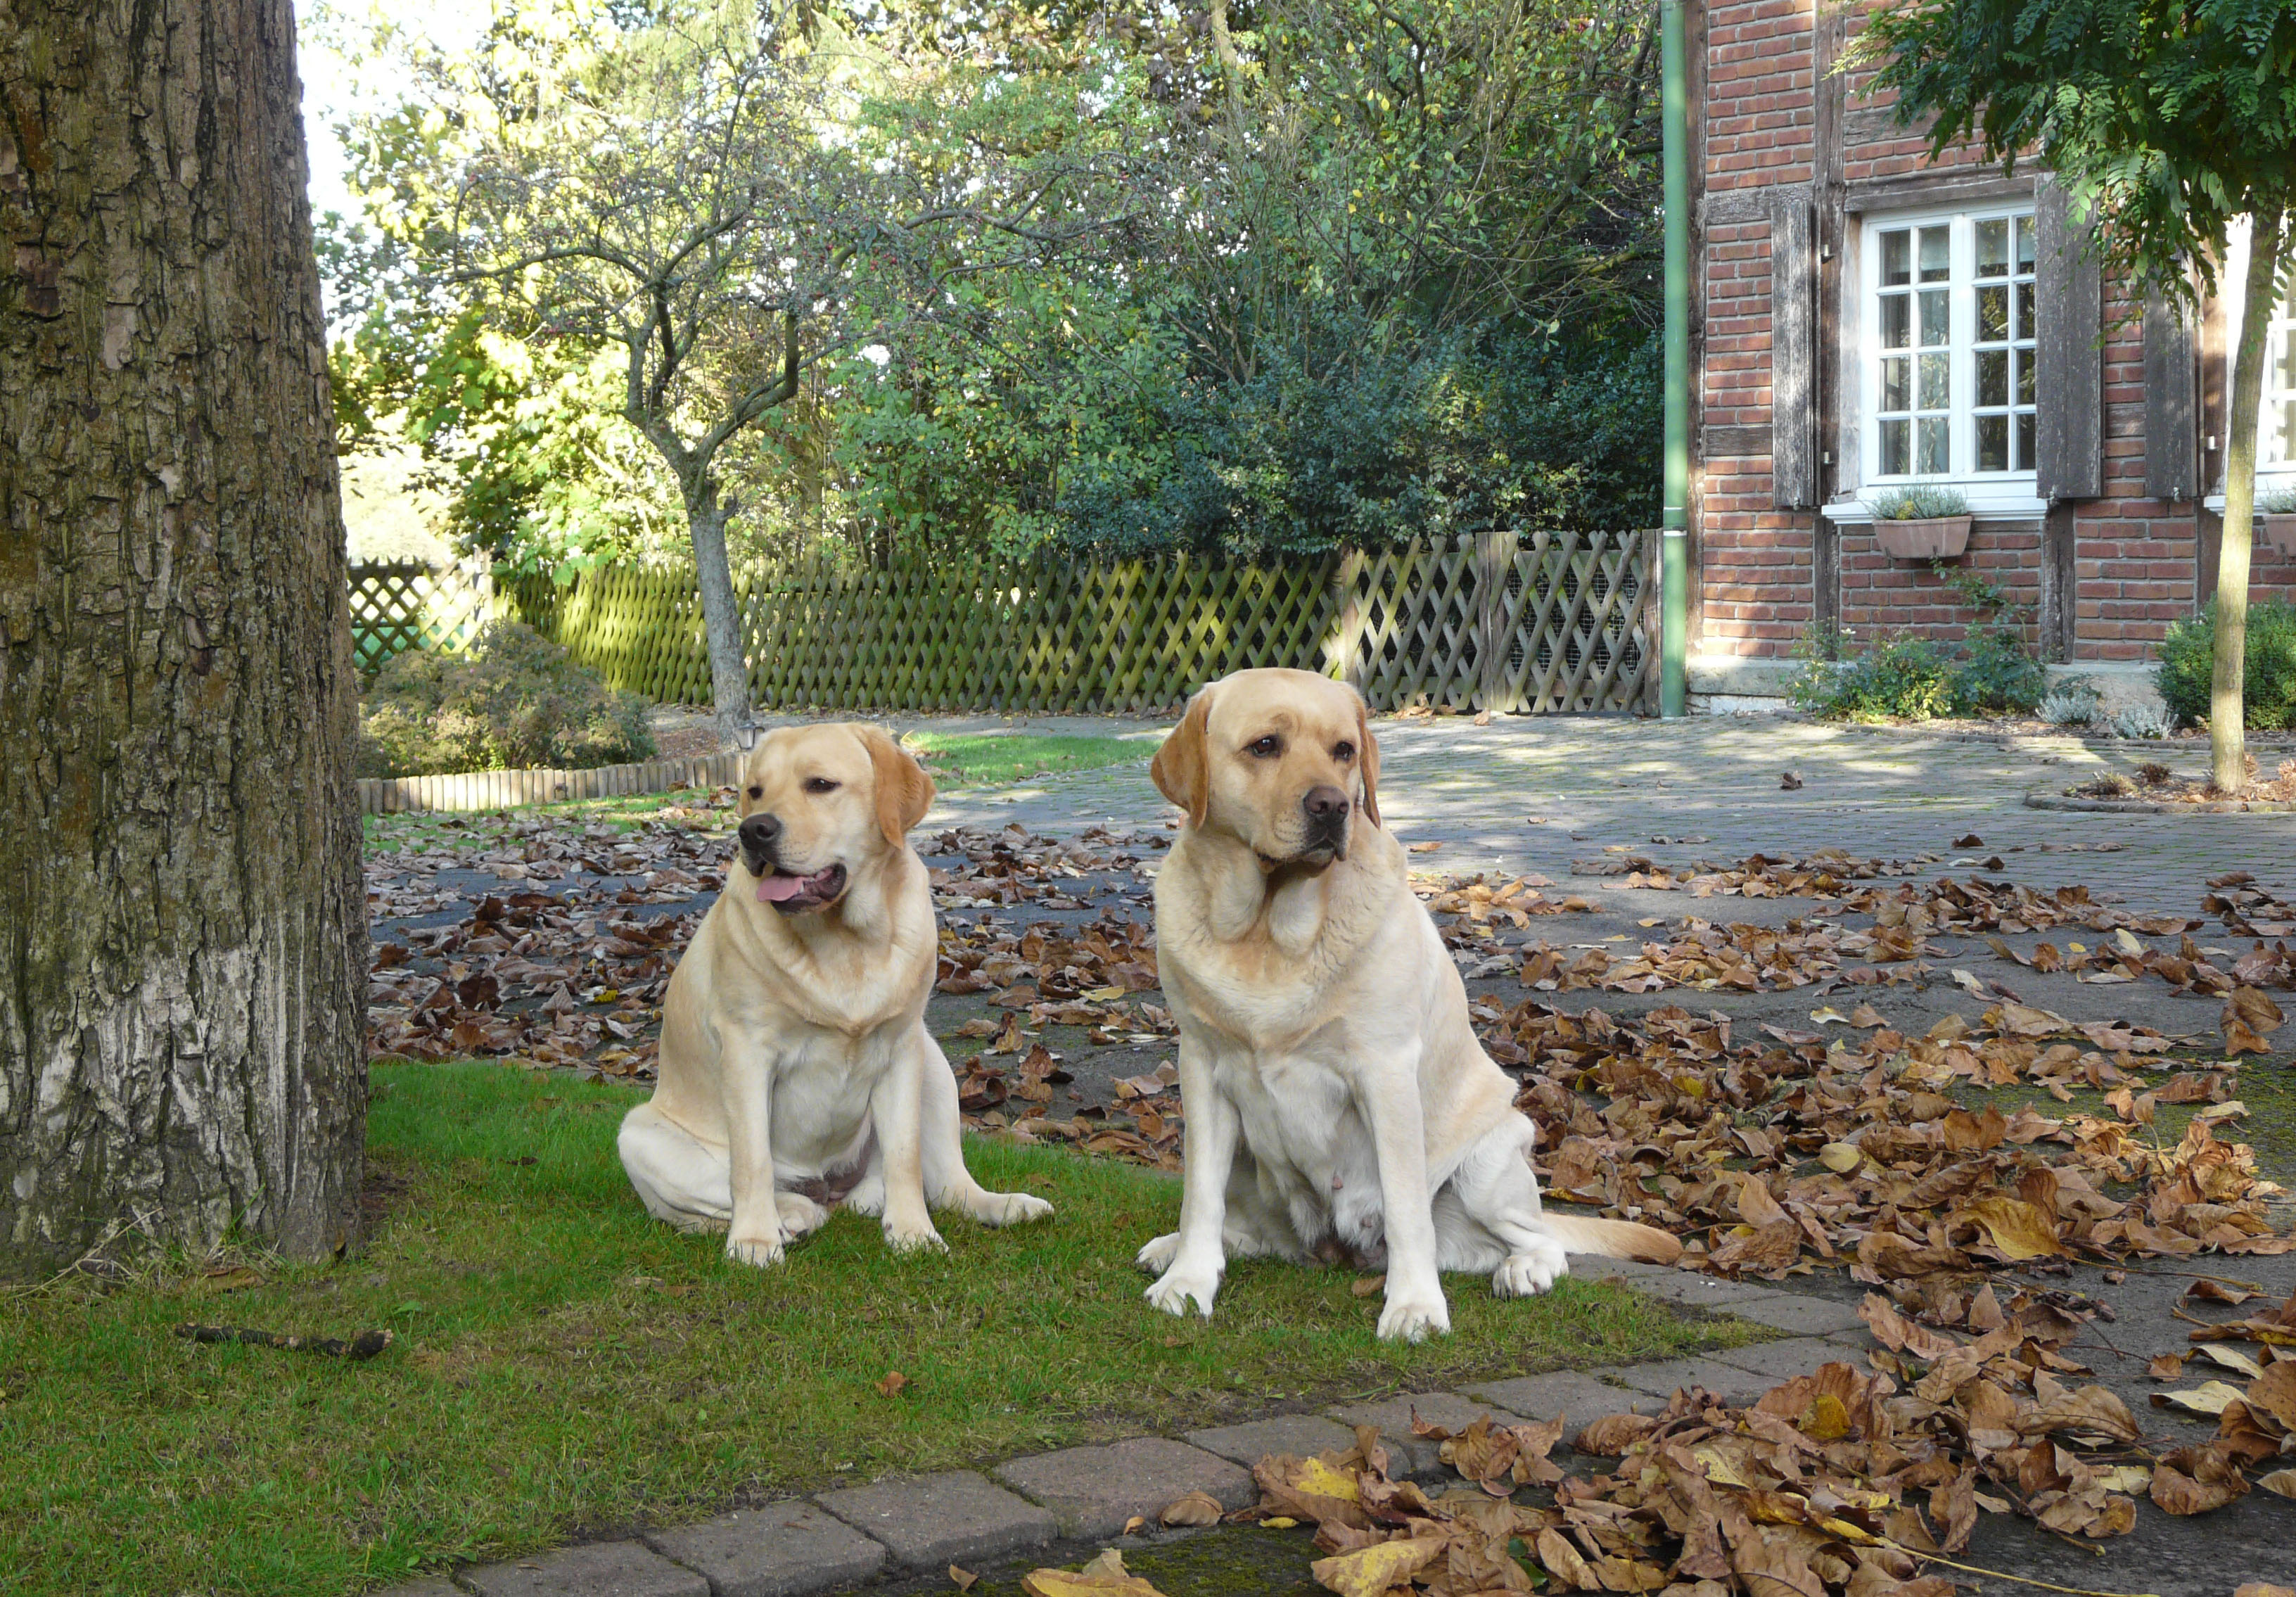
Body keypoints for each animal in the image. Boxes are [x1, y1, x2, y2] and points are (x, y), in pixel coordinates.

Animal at [615, 726, 1051, 1259]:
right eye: (754, 791)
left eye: (821, 785)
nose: (753, 831)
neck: (847, 943)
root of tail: (829, 1189)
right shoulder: (746, 1051)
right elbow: (752, 1162)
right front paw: (755, 1239)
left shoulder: (901, 1049)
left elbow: (904, 1156)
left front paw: (913, 1233)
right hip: (637, 1135)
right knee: (716, 1204)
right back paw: (792, 1216)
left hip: (933, 1064)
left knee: (949, 1184)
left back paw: (1005, 1205)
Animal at [1138, 666, 1680, 1342]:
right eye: (1265, 746)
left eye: (1344, 751)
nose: (1332, 806)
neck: (1270, 934)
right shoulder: (1203, 1068)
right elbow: (1199, 1197)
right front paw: (1187, 1280)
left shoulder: (1385, 1070)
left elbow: (1404, 1209)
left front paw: (1415, 1305)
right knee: (1246, 1228)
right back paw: (1177, 1248)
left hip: (1490, 1156)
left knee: (1536, 1237)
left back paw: (1524, 1269)